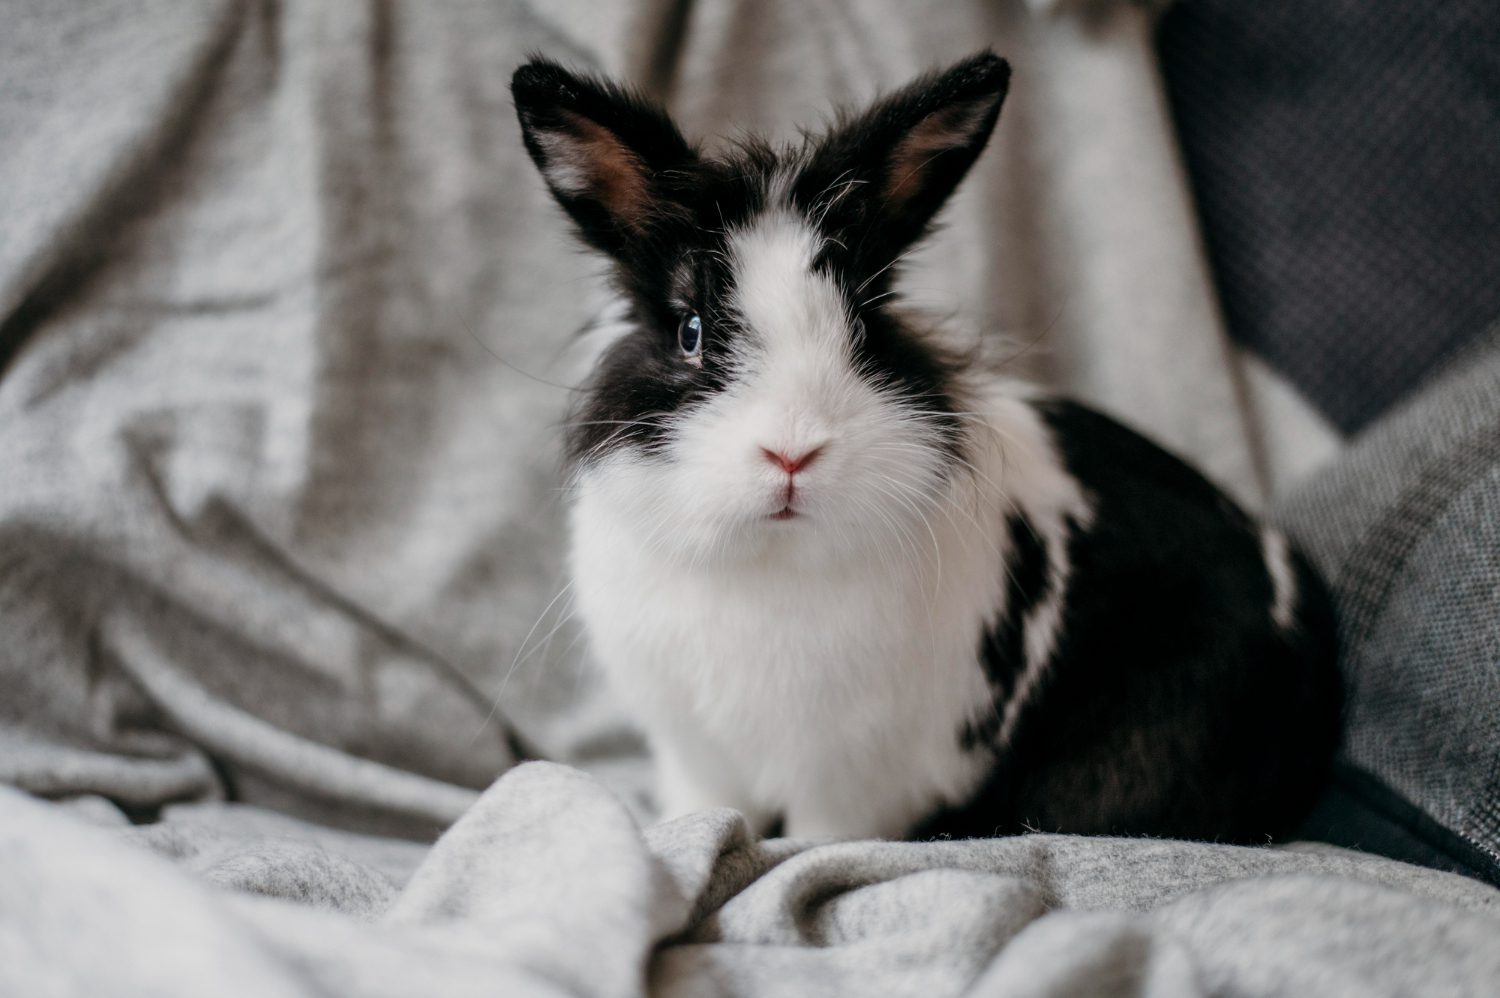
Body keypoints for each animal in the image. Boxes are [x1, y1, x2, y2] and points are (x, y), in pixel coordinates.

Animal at [510, 51, 1342, 842]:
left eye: (864, 327)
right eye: (690, 332)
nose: (792, 455)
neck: (770, 560)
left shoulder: (853, 776)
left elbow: (821, 840)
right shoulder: (694, 752)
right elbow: (703, 808)